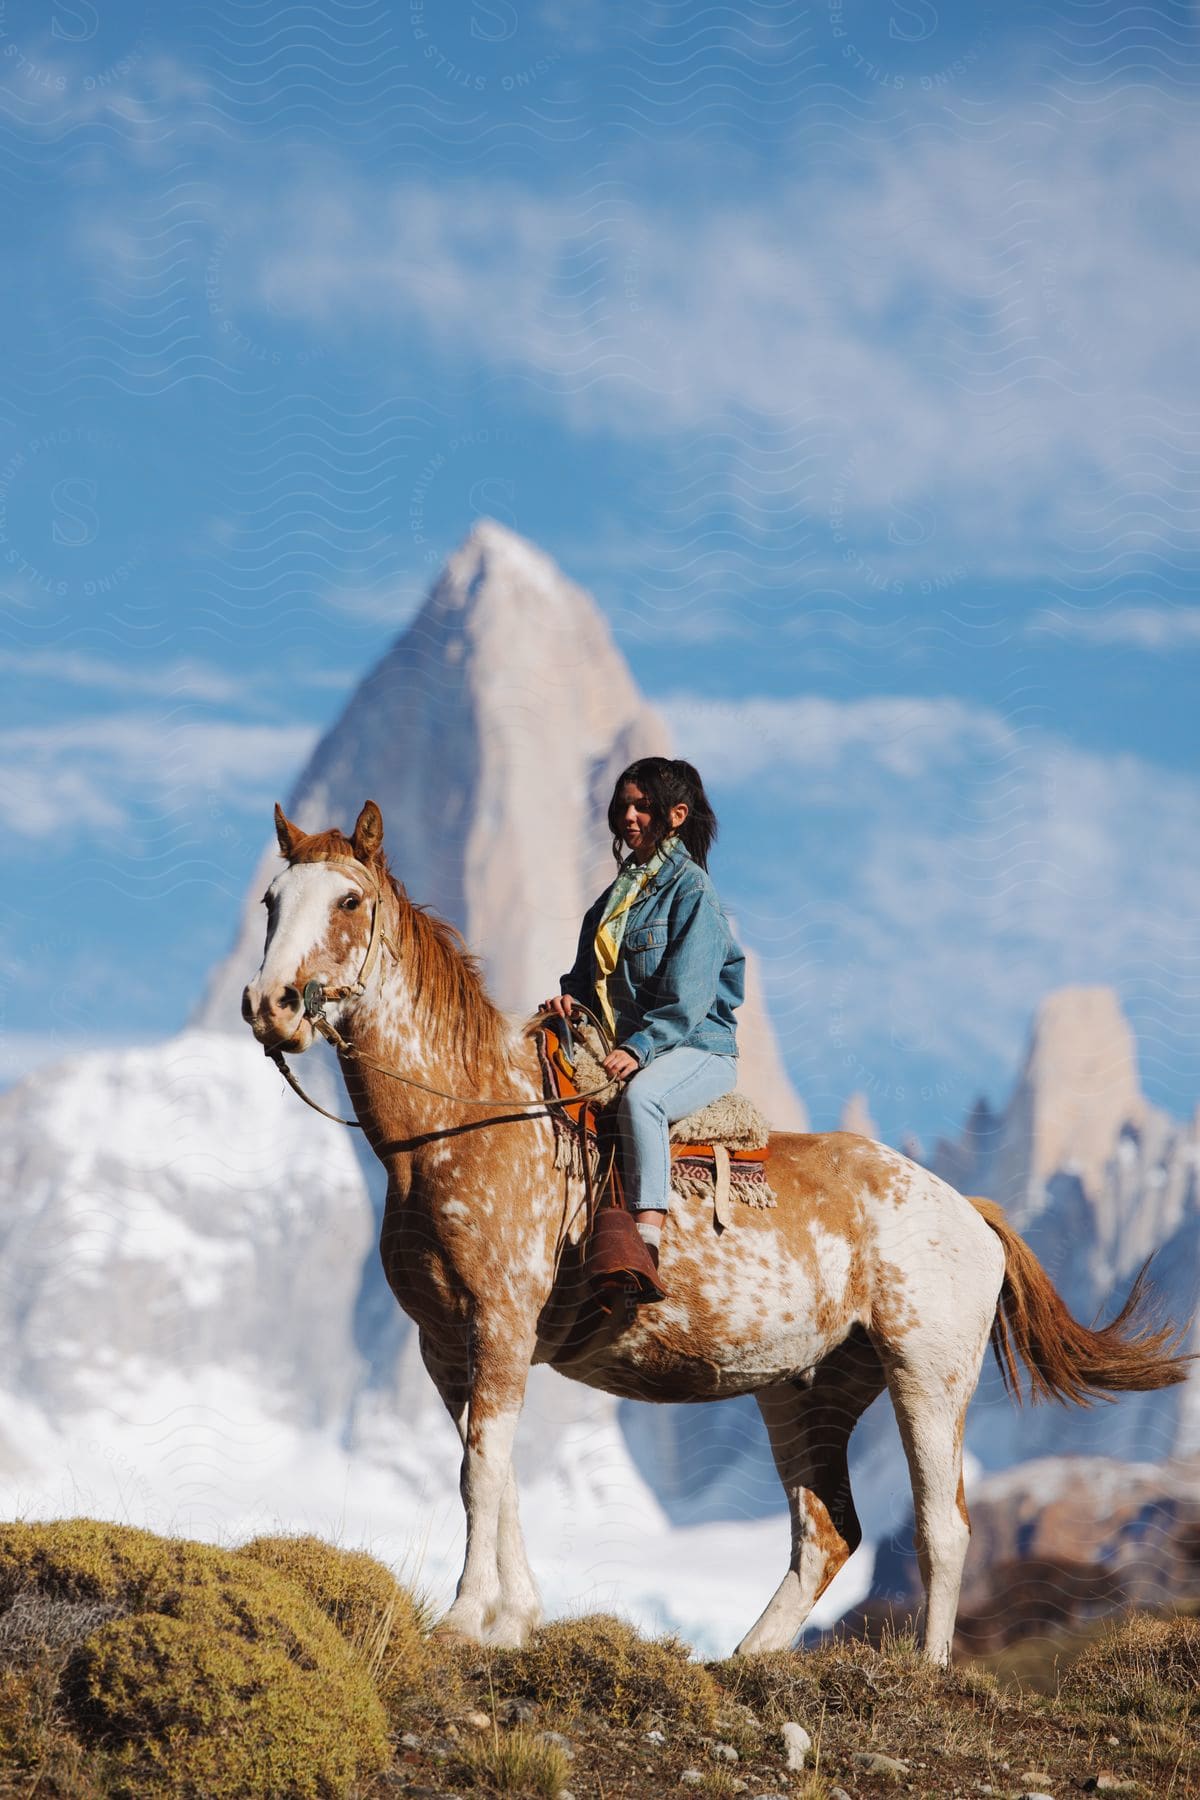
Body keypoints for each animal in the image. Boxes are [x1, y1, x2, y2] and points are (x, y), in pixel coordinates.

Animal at [241, 802, 1194, 1656]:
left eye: (349, 900)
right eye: (272, 899)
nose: (269, 1005)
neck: (460, 1128)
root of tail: (973, 1215)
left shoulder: (501, 1323)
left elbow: (480, 1468)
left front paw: (465, 1619)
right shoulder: (448, 1343)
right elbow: (495, 1470)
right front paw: (511, 1622)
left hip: (928, 1375)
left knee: (940, 1525)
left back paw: (926, 1671)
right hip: (805, 1390)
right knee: (828, 1532)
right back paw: (744, 1659)